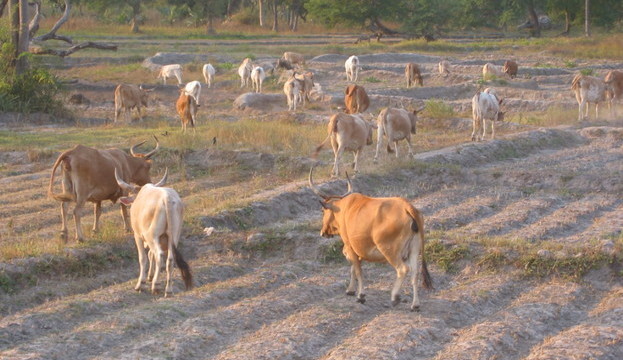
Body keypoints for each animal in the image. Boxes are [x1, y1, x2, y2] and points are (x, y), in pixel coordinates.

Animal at [308, 166, 434, 310]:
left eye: (323, 211)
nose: (322, 232)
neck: (344, 208)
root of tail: (407, 207)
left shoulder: (350, 246)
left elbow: (357, 270)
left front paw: (360, 295)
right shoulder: (357, 251)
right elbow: (354, 268)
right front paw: (351, 290)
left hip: (389, 250)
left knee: (403, 269)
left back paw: (395, 297)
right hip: (414, 250)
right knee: (415, 273)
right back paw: (415, 304)